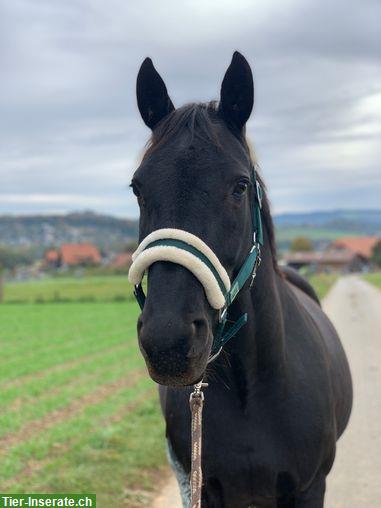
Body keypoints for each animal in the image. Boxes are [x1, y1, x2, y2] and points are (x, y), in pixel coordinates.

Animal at [129, 52, 352, 508]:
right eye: (137, 188)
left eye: (240, 186)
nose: (168, 341)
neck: (254, 390)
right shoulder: (205, 489)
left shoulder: (309, 488)